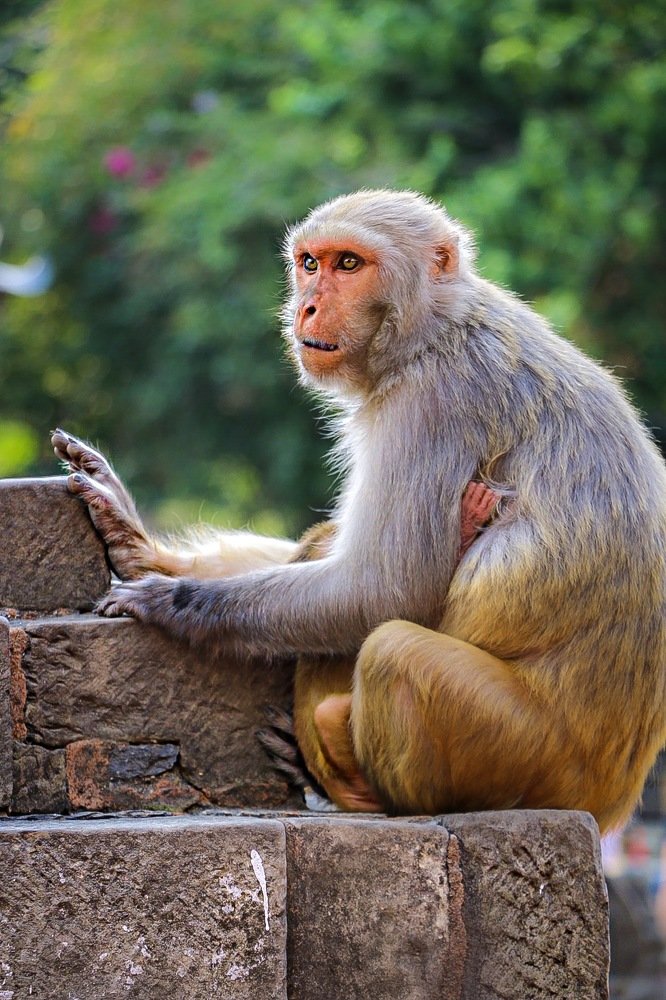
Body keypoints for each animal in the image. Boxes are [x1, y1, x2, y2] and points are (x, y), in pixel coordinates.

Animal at [53, 189, 666, 832]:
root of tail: (611, 798)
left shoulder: (428, 403)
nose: (308, 307)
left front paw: (171, 602)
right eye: (310, 263)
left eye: (349, 264)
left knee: (393, 650)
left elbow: (385, 586)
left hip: (526, 756)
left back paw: (366, 794)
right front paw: (140, 547)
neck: (433, 328)